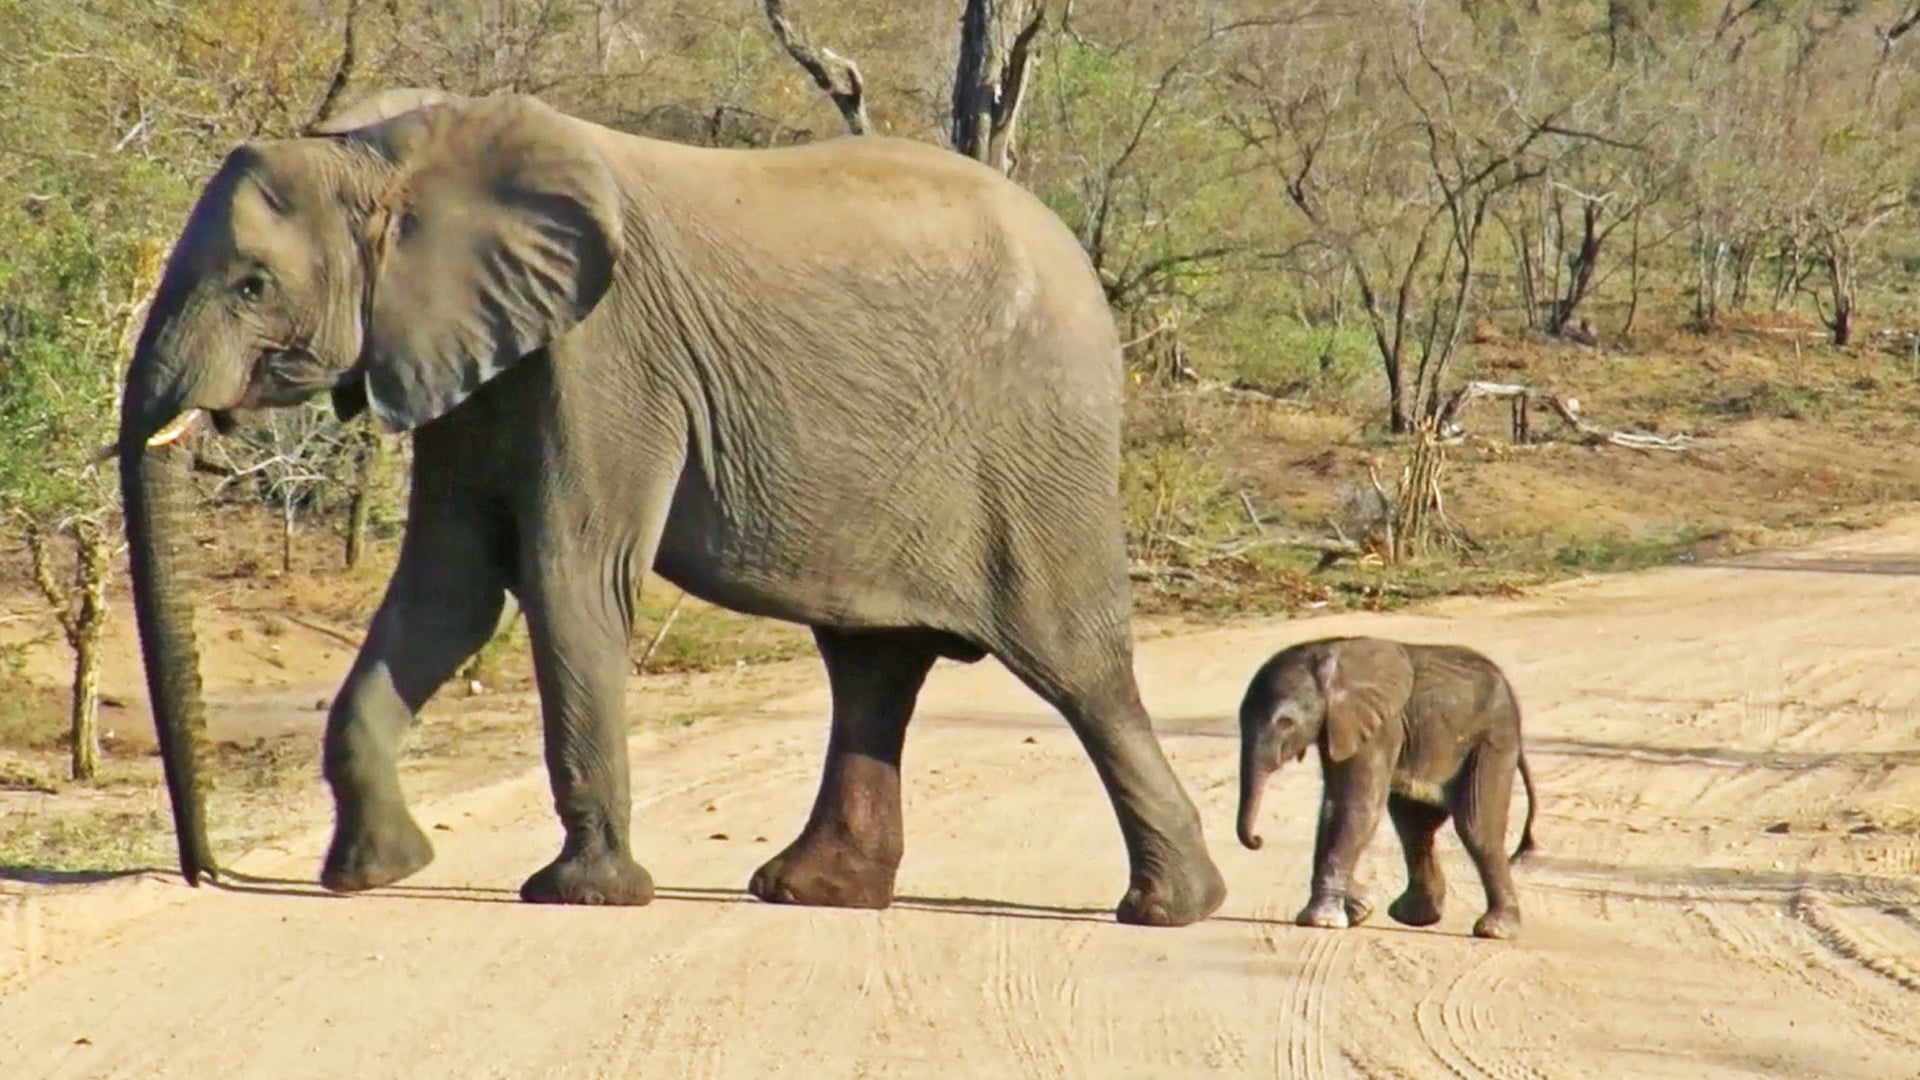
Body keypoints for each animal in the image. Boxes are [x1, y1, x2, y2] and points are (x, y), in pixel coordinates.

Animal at [107, 86, 1227, 926]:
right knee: (872, 666)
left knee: (1074, 665)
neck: (388, 154)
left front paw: (582, 897)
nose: (208, 876)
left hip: (1037, 446)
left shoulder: (605, 354)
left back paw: (1171, 909)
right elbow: (446, 591)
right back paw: (812, 893)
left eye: (252, 286)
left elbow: (569, 573)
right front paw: (372, 875)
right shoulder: (475, 359)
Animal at [1234, 636, 1537, 939]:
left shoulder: (1381, 725)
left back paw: (1494, 929)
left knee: (1476, 827)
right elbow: (1335, 806)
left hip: (1493, 738)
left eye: (1286, 723)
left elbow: (1358, 806)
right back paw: (1415, 917)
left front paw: (1321, 920)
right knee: (1414, 826)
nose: (1258, 840)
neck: (1327, 653)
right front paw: (1360, 908)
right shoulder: (1341, 726)